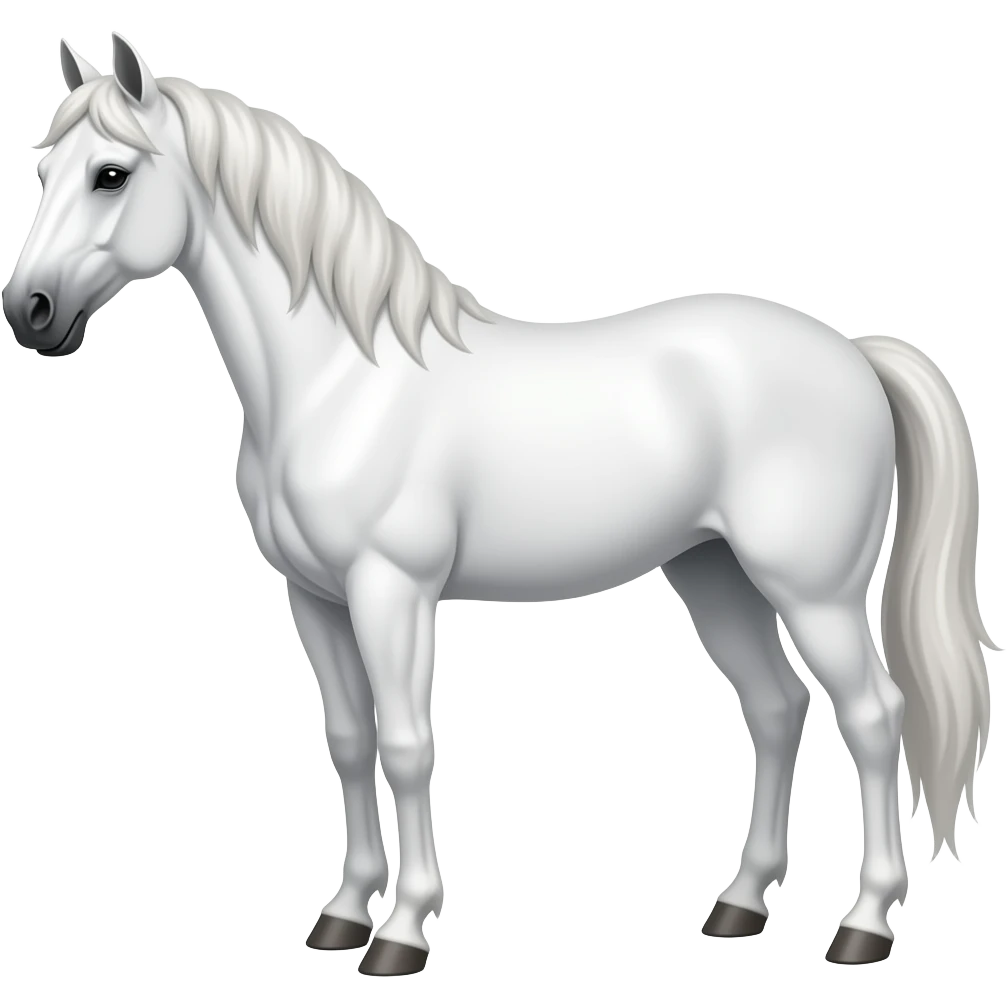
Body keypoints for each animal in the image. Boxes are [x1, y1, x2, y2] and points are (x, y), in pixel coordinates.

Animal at [3, 33, 996, 975]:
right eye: (42, 172)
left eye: (111, 173)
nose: (30, 311)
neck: (339, 381)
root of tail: (852, 352)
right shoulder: (314, 597)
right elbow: (350, 740)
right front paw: (340, 915)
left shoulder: (391, 591)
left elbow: (408, 744)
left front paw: (401, 932)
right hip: (713, 573)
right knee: (777, 707)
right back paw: (740, 905)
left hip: (812, 590)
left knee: (873, 717)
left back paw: (863, 924)